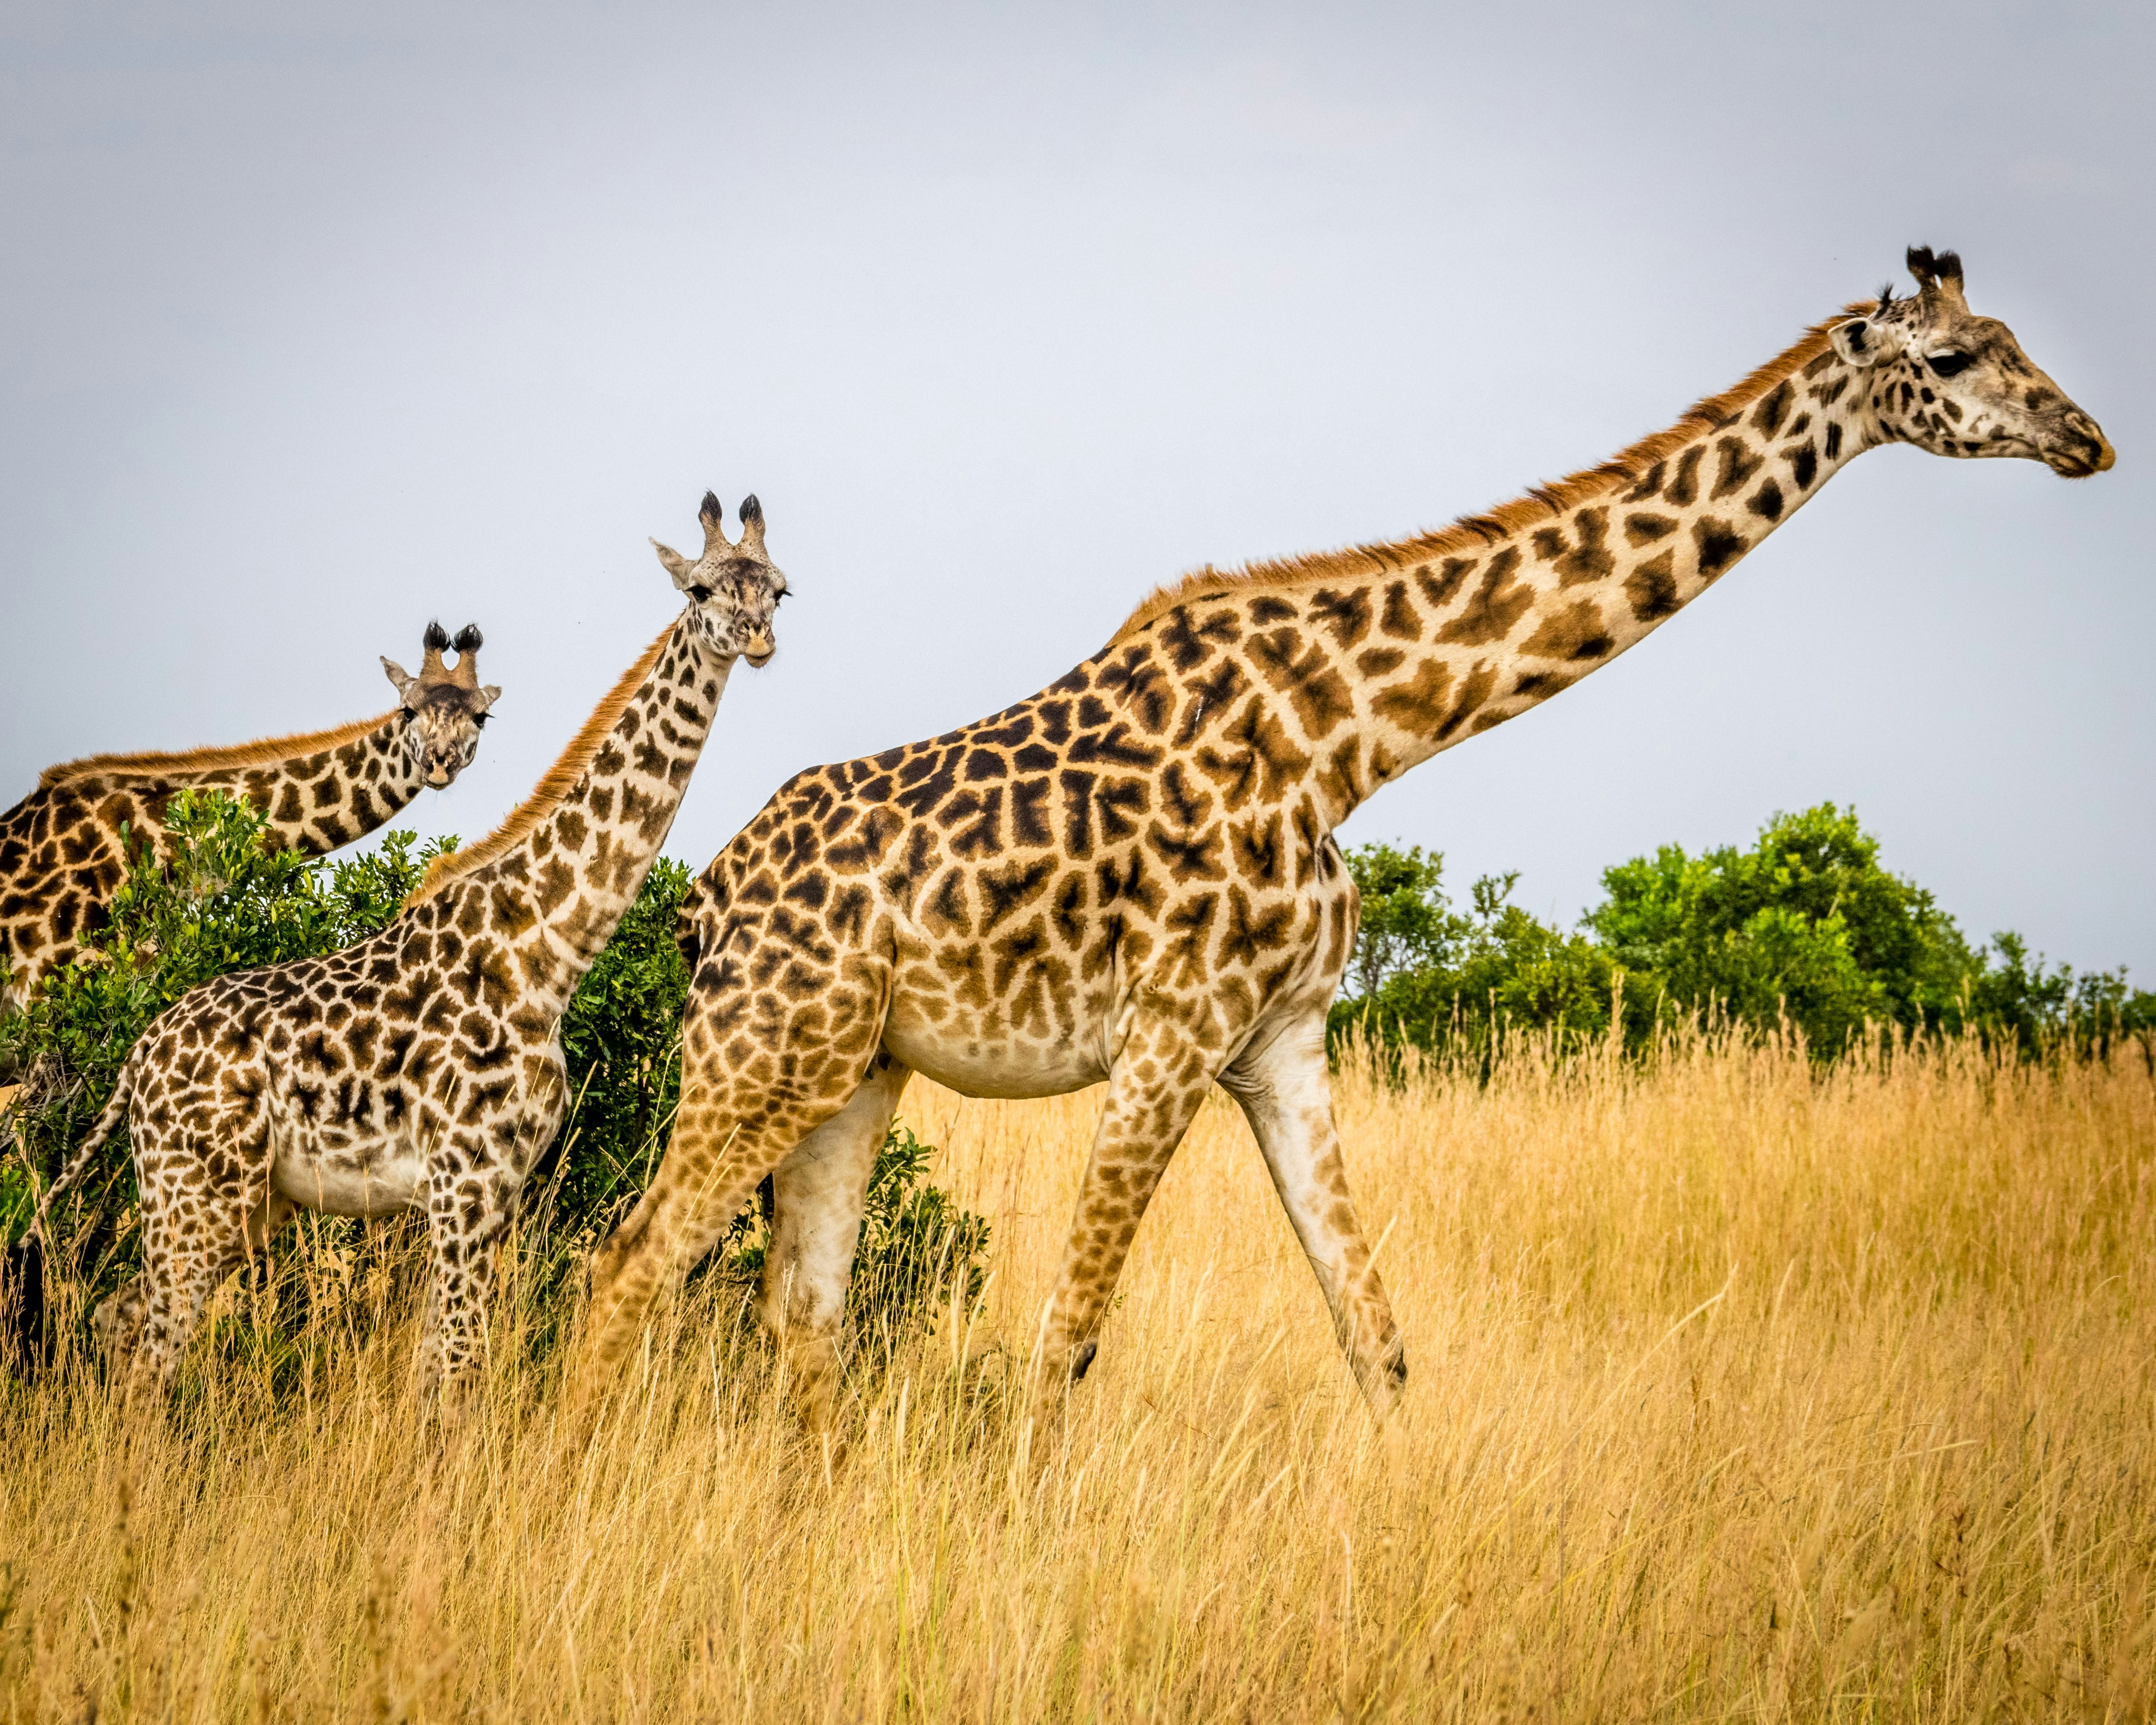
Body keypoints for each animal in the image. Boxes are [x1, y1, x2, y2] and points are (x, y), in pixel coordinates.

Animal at [569, 248, 2110, 1428]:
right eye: (1957, 357)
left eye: (2012, 342)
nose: (2084, 438)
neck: (1349, 739)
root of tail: (703, 901)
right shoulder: (1170, 1034)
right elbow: (1065, 1337)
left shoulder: (1283, 1040)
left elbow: (1374, 1336)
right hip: (758, 1058)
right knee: (626, 1266)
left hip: (853, 1070)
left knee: (802, 1307)